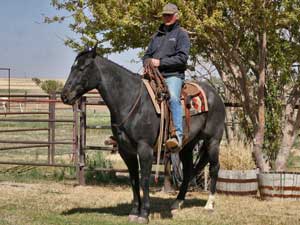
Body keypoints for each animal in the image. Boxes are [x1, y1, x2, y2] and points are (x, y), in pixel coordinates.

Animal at [61, 47, 225, 223]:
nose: (64, 95)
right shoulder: (126, 151)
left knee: (214, 168)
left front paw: (144, 214)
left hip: (213, 140)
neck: (131, 101)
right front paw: (134, 211)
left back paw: (209, 204)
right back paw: (177, 202)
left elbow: (144, 180)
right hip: (188, 145)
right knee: (188, 170)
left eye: (82, 68)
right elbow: (134, 180)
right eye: (72, 67)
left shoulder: (145, 149)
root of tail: (215, 94)